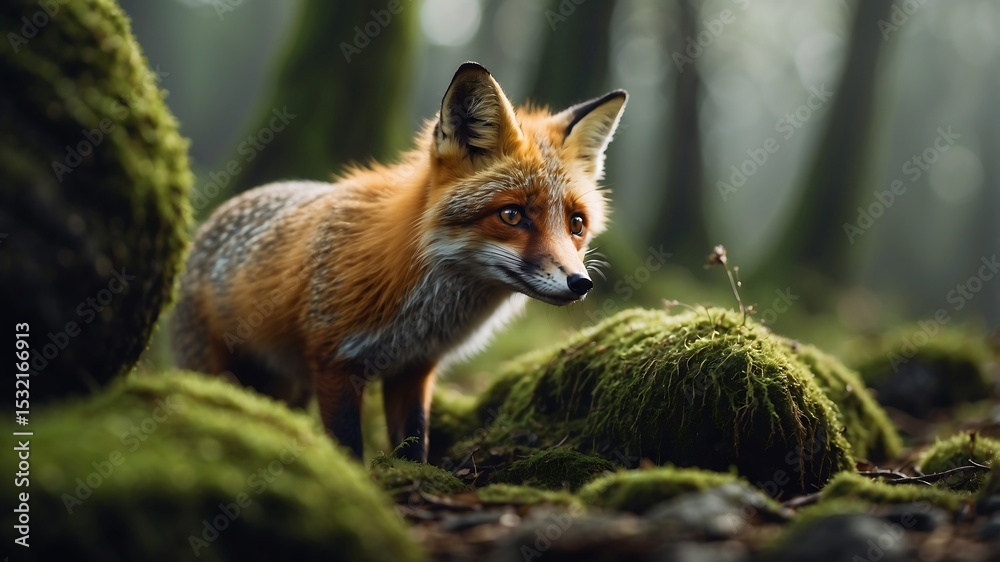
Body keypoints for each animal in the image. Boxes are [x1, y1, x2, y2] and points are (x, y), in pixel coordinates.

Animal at [171, 62, 627, 462]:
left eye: (576, 224)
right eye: (512, 215)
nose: (580, 283)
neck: (420, 312)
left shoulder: (413, 369)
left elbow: (414, 444)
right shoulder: (334, 361)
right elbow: (348, 446)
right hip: (216, 367)